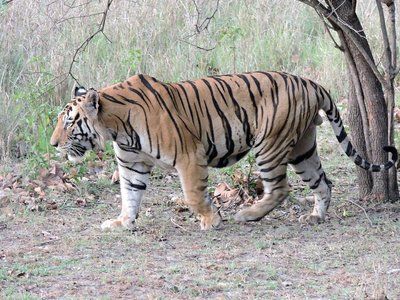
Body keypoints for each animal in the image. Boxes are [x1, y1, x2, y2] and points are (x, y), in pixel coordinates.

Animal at [49, 72, 396, 230]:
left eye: (68, 121)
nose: (52, 144)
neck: (117, 127)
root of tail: (311, 82)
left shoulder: (189, 156)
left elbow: (192, 194)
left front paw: (211, 220)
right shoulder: (132, 165)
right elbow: (130, 195)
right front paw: (122, 222)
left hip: (270, 145)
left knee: (280, 188)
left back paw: (249, 214)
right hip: (303, 148)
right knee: (324, 183)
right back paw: (315, 216)